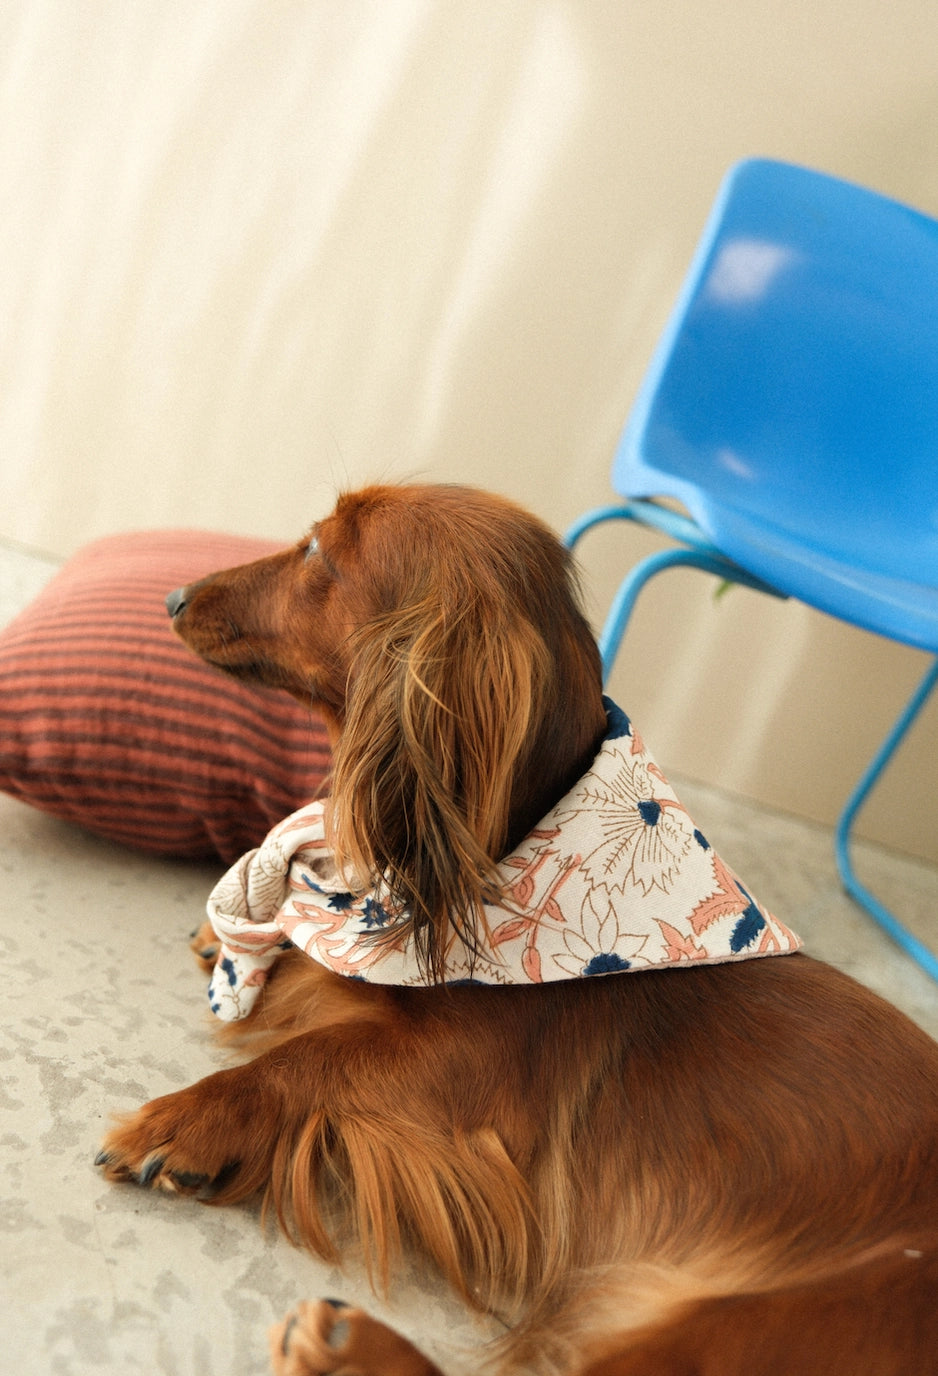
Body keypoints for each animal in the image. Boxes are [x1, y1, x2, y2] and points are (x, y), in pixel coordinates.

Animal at [97, 483, 938, 1375]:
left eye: (320, 550)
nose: (172, 596)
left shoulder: (463, 1074)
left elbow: (311, 1057)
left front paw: (190, 1117)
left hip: (758, 1326)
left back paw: (347, 1343)